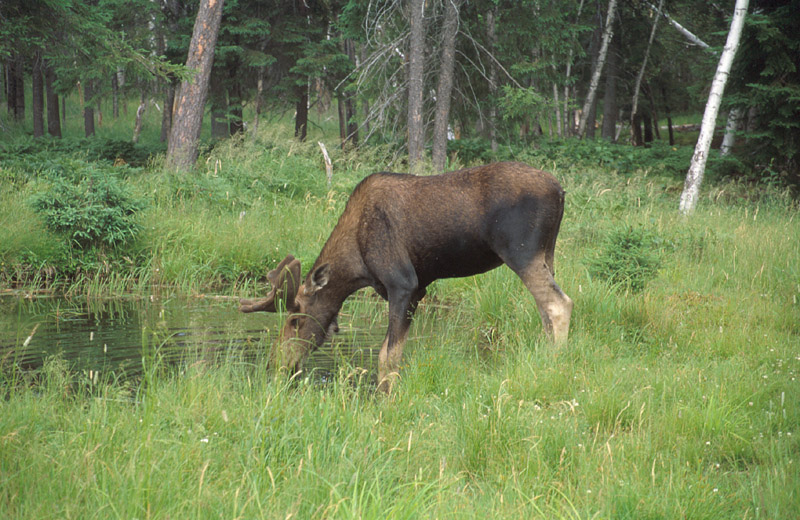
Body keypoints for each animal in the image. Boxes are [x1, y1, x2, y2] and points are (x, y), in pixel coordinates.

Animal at [241, 160, 572, 392]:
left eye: (295, 320)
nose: (276, 364)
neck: (356, 266)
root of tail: (560, 191)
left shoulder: (404, 285)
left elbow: (387, 357)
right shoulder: (415, 289)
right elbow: (390, 353)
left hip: (521, 252)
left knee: (559, 304)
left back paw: (555, 366)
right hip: (547, 253)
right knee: (545, 310)